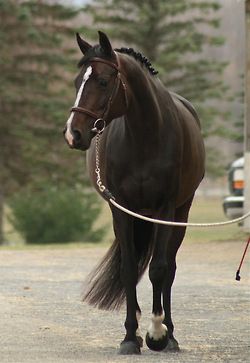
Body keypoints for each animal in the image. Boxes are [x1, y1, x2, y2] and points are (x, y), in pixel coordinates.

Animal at [64, 30, 205, 356]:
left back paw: (171, 335)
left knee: (169, 268)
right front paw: (130, 336)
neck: (144, 137)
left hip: (180, 213)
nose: (73, 133)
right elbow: (128, 270)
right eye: (77, 81)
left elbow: (159, 270)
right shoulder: (121, 209)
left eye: (103, 81)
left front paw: (157, 333)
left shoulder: (166, 209)